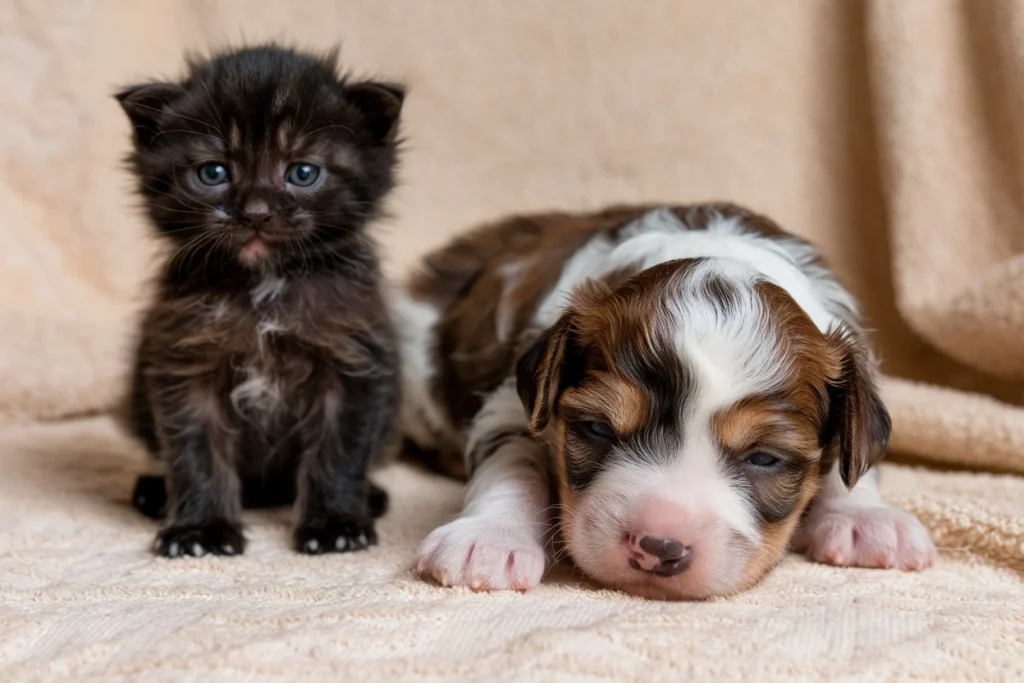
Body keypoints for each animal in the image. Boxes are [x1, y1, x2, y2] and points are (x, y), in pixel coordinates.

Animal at [118, 41, 403, 557]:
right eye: (213, 172)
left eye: (303, 172)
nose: (255, 212)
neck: (265, 287)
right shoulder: (184, 358)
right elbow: (195, 450)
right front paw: (200, 530)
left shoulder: (352, 358)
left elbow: (340, 448)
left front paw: (335, 525)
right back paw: (155, 492)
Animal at [397, 201, 937, 598]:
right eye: (597, 429)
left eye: (765, 457)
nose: (658, 547)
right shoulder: (512, 404)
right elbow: (512, 462)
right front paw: (488, 539)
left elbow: (854, 461)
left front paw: (866, 520)